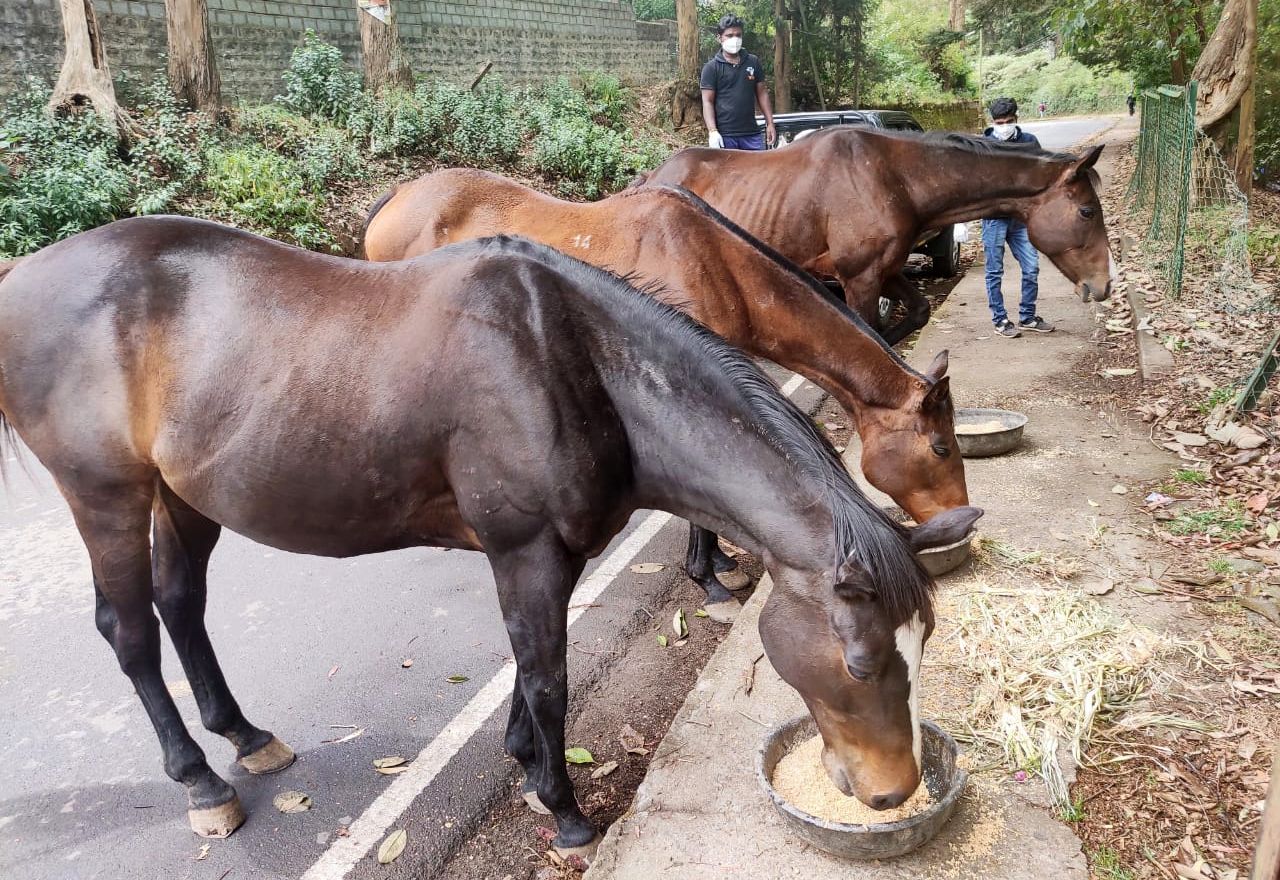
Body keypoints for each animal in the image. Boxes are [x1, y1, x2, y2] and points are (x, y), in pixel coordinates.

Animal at [0, 218, 977, 859]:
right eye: (860, 663)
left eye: (924, 643)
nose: (894, 791)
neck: (572, 364)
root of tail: (22, 281)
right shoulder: (527, 552)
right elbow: (547, 676)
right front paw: (564, 806)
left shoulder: (546, 558)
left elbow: (526, 659)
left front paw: (517, 753)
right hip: (108, 496)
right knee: (130, 630)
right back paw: (200, 780)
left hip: (184, 494)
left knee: (182, 606)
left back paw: (243, 735)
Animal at [360, 170, 967, 619]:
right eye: (940, 448)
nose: (960, 516)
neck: (719, 264)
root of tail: (398, 196)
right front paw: (708, 582)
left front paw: (719, 565)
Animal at [637, 129, 1111, 345]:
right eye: (1087, 211)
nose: (1105, 285)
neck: (893, 178)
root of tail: (648, 178)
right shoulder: (859, 279)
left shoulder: (885, 271)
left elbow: (914, 313)